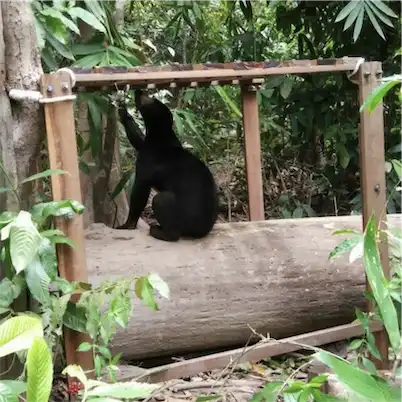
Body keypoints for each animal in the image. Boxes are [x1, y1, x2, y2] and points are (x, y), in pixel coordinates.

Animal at [116, 90, 218, 242]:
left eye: (151, 99)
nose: (139, 90)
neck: (161, 136)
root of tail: (203, 231)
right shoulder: (145, 145)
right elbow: (137, 139)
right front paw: (123, 113)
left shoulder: (143, 171)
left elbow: (137, 199)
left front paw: (127, 226)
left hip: (163, 201)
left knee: (173, 232)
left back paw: (156, 230)